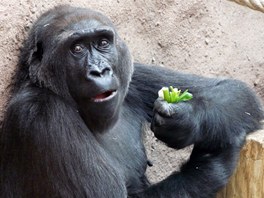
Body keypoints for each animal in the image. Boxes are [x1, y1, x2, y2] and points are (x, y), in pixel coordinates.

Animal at [0, 4, 264, 198]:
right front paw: (209, 166)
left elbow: (238, 93)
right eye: (77, 48)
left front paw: (187, 122)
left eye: (103, 43)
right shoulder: (41, 114)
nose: (100, 71)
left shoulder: (132, 74)